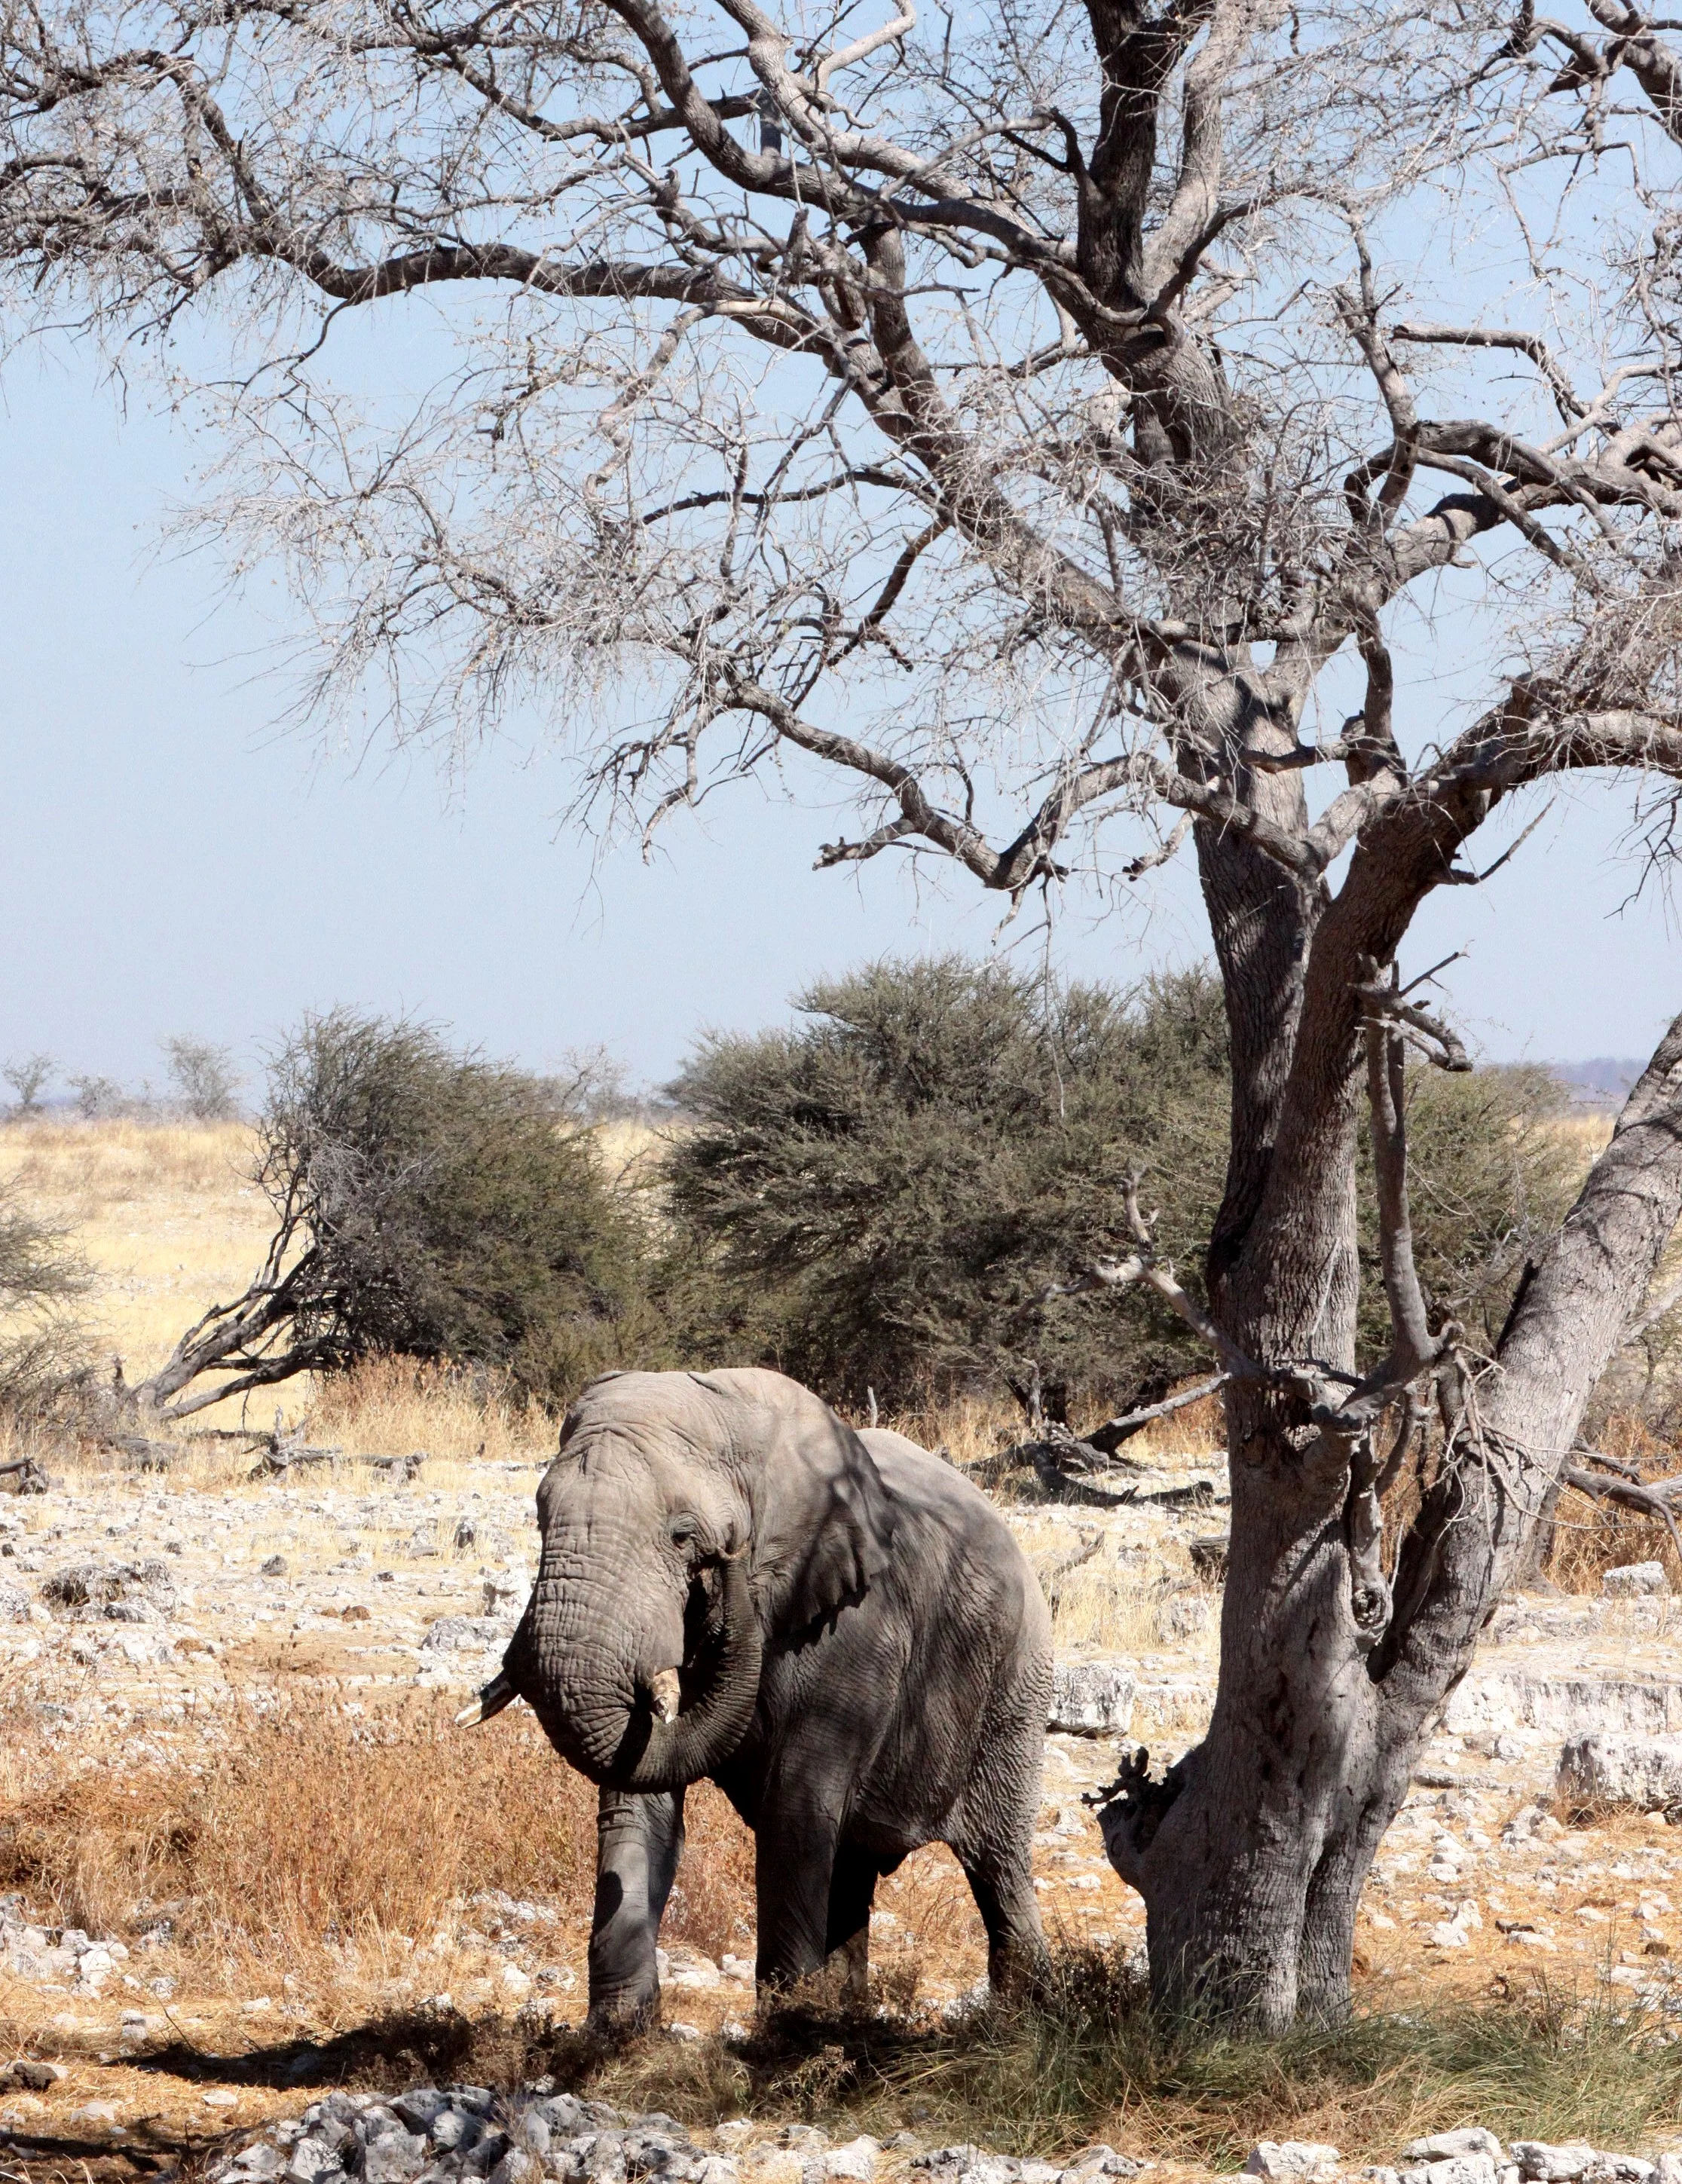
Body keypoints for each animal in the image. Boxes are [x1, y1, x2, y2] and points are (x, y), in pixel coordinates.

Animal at [457, 1365, 1052, 2031]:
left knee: (998, 1862)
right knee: (853, 1870)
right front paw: (617, 2034)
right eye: (540, 1519)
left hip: (1015, 1691)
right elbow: (640, 1794)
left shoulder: (860, 1630)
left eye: (683, 1537)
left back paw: (1022, 2017)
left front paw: (783, 2032)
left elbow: (794, 1807)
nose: (727, 1561)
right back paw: (846, 2020)